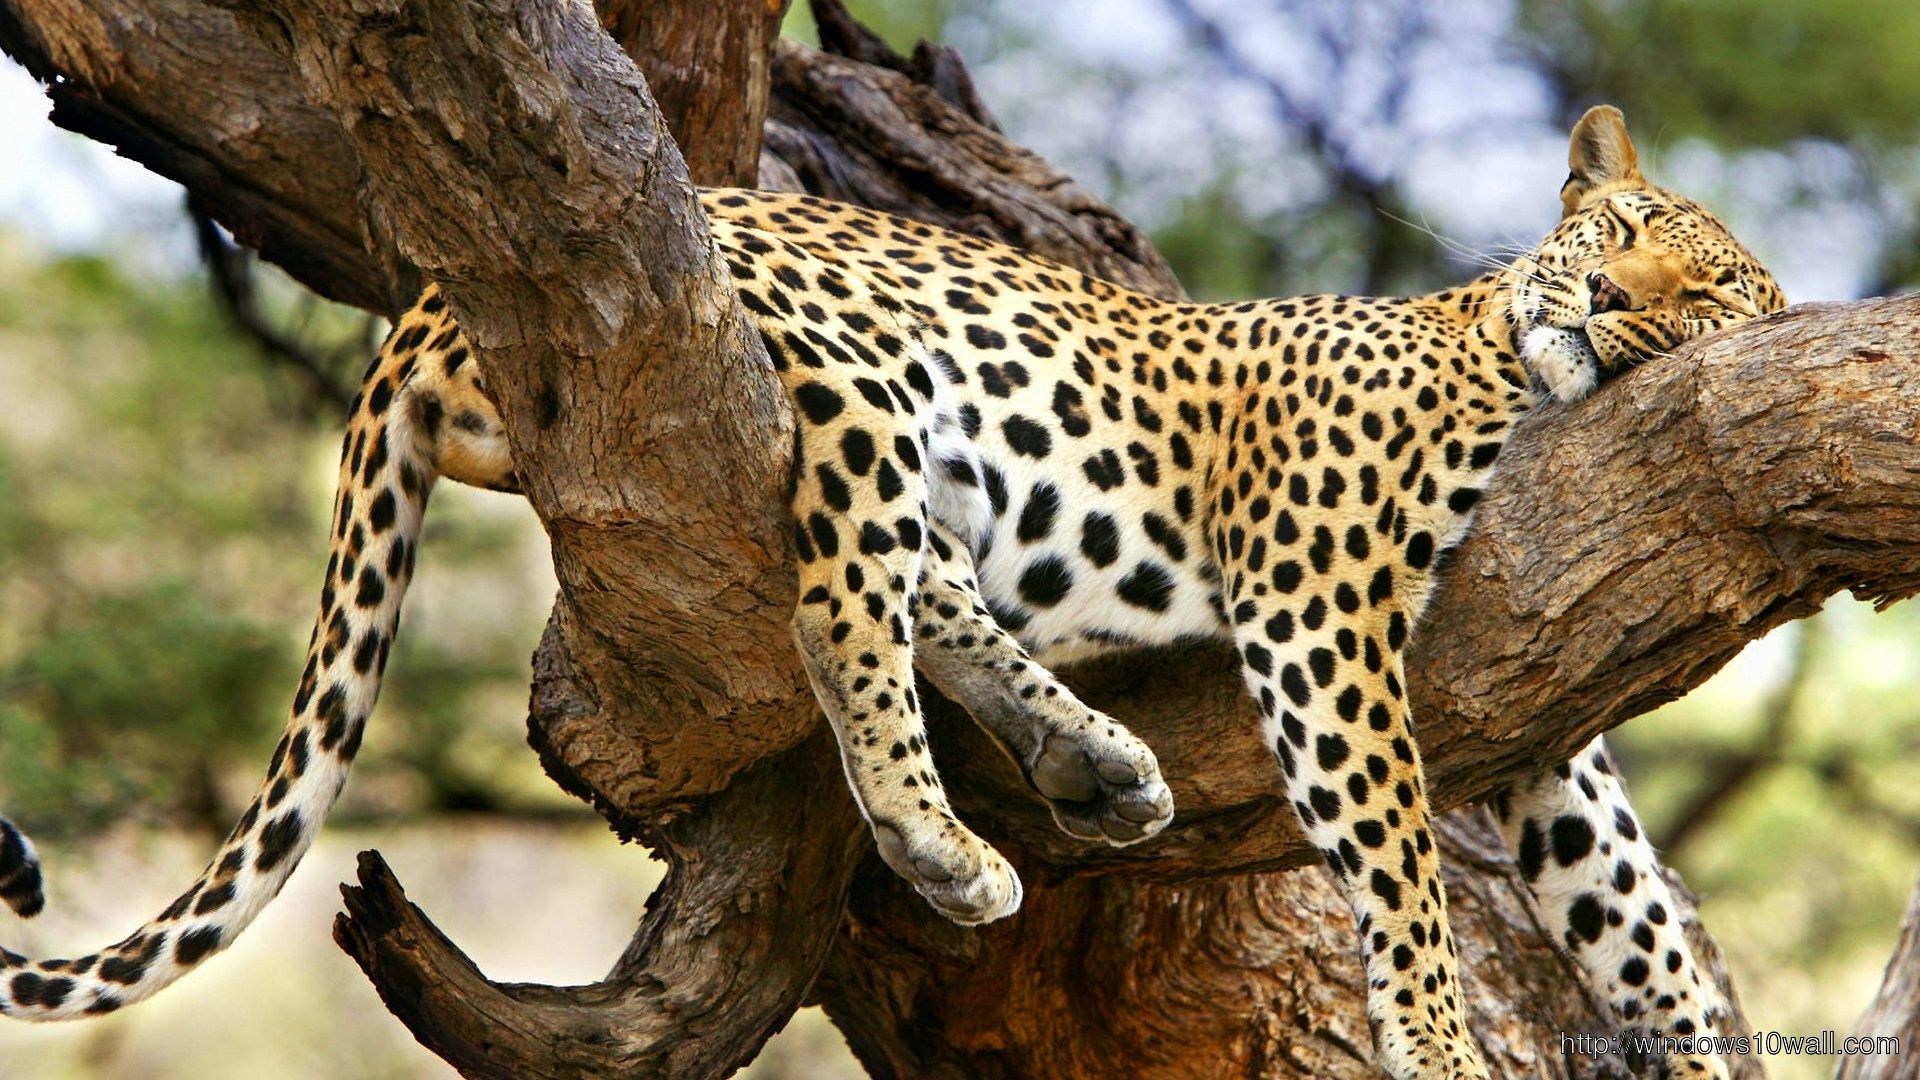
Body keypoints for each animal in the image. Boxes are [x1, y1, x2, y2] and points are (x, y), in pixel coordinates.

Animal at [0, 105, 1783, 1079]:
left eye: (1704, 293)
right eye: (1623, 229)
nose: (1604, 303)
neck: (1509, 368)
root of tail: (433, 294)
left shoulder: (1543, 703)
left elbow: (1628, 900)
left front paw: (1697, 1043)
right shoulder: (1317, 599)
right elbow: (1405, 858)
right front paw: (1433, 1039)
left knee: (922, 583)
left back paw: (1090, 761)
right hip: (851, 372)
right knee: (841, 606)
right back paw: (942, 839)